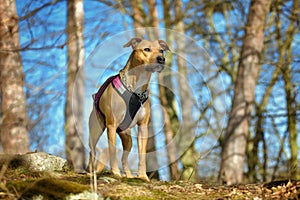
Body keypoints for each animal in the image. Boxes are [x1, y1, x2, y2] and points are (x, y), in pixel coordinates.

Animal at [88, 38, 170, 181]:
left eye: (161, 50)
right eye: (146, 49)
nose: (161, 59)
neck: (136, 89)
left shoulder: (143, 127)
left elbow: (142, 155)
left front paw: (142, 176)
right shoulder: (111, 125)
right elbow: (112, 151)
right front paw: (115, 173)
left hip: (127, 138)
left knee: (124, 158)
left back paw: (129, 175)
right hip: (96, 130)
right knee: (92, 151)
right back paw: (90, 172)